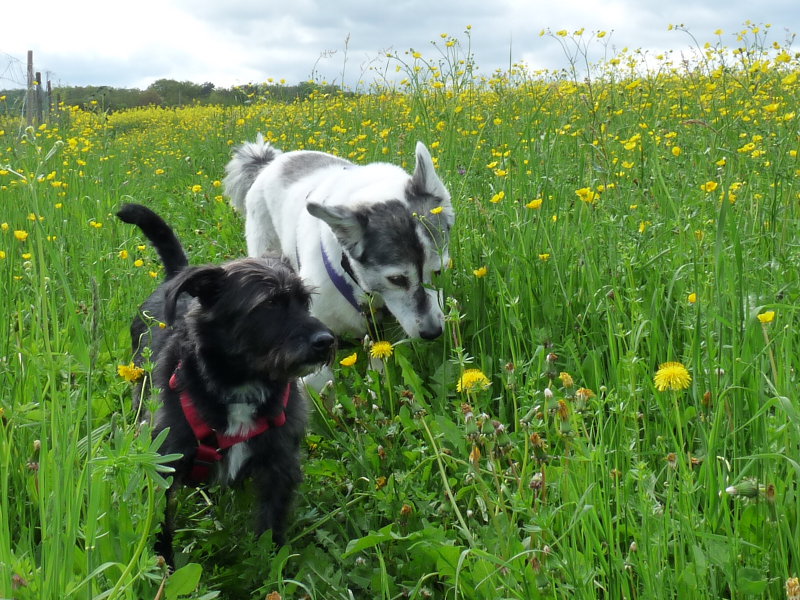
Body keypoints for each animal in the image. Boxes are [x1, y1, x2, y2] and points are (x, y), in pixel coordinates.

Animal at [116, 204, 334, 564]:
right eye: (268, 304)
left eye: (305, 300)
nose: (326, 340)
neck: (241, 386)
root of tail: (177, 274)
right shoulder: (164, 463)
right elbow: (160, 526)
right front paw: (164, 568)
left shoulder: (280, 464)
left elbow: (271, 526)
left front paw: (271, 568)